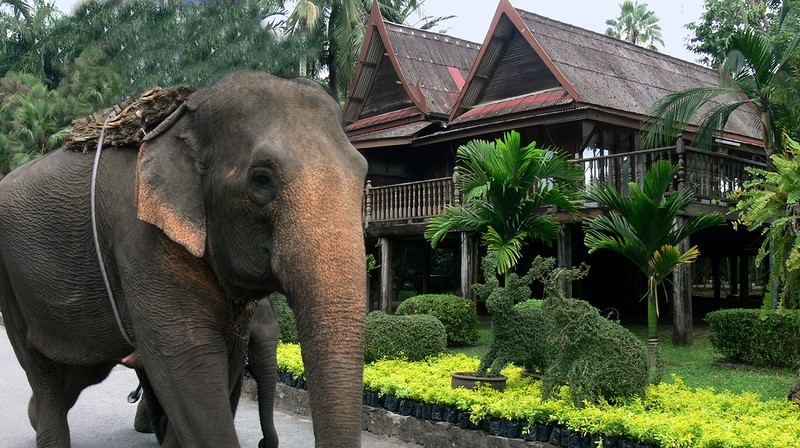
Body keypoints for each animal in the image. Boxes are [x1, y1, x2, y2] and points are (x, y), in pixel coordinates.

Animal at [0, 72, 368, 446]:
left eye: (364, 173)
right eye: (261, 180)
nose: (265, 443)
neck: (185, 115)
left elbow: (221, 367)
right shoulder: (140, 236)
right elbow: (189, 366)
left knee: (80, 372)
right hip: (10, 281)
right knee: (41, 369)